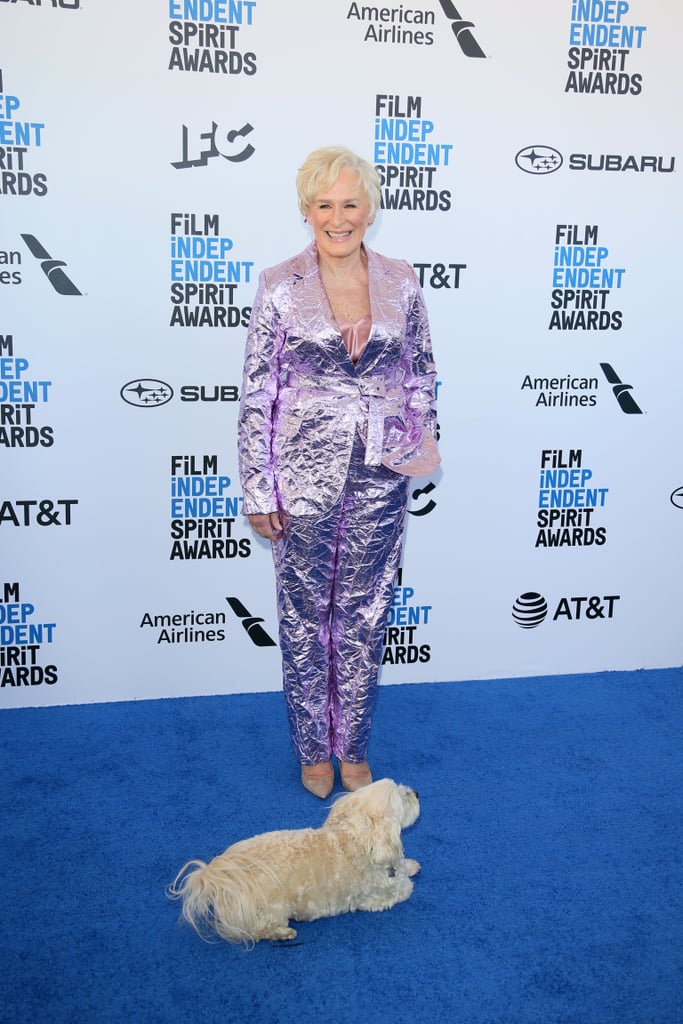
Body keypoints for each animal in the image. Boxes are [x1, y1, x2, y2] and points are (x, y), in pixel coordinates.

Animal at [167, 782, 419, 942]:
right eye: (403, 796)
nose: (416, 792)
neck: (355, 839)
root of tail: (226, 877)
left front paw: (409, 865)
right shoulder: (373, 898)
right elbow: (402, 889)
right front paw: (407, 881)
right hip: (273, 910)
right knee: (259, 931)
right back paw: (282, 933)